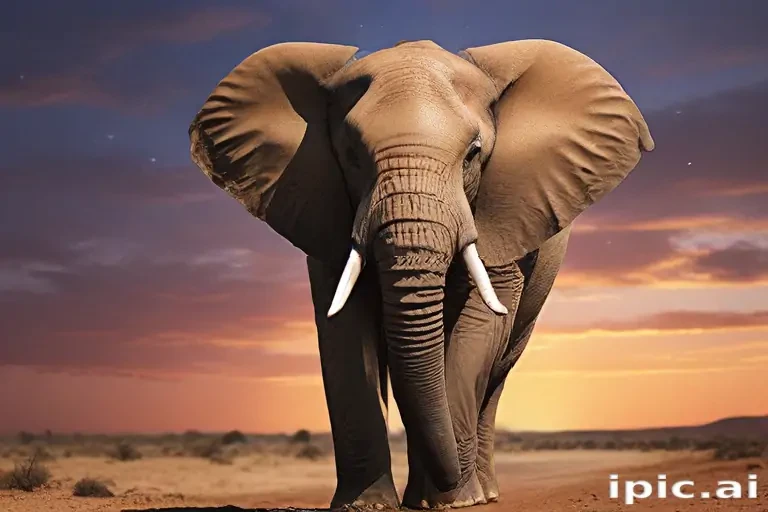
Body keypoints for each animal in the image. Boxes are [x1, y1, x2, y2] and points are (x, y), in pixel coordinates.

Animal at [188, 39, 654, 509]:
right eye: (352, 156)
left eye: (473, 154)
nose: (449, 482)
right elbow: (345, 328)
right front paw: (367, 505)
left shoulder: (504, 210)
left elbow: (477, 327)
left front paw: (454, 501)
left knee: (497, 374)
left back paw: (479, 493)